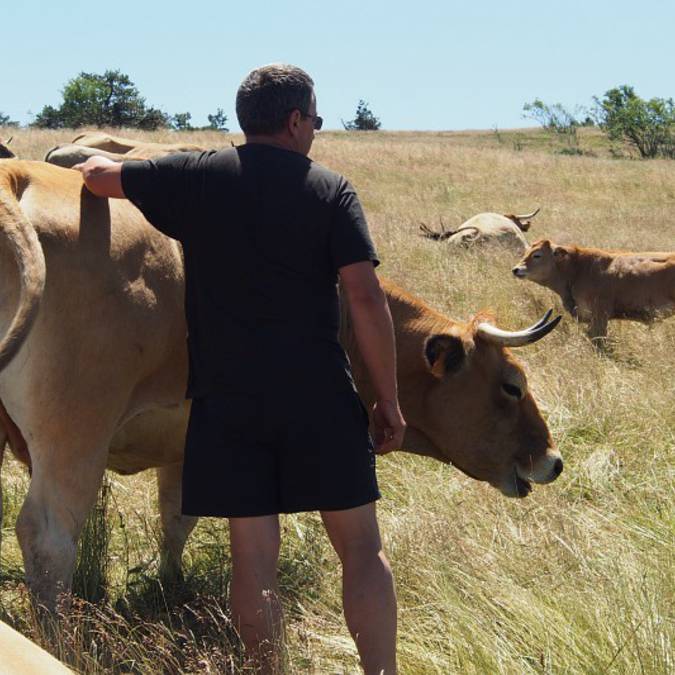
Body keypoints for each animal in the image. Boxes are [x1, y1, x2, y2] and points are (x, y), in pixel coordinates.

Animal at [0, 160, 564, 608]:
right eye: (512, 385)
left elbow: (173, 520)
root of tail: (18, 174)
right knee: (48, 540)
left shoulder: (181, 449)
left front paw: (168, 586)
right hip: (76, 436)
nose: (553, 461)